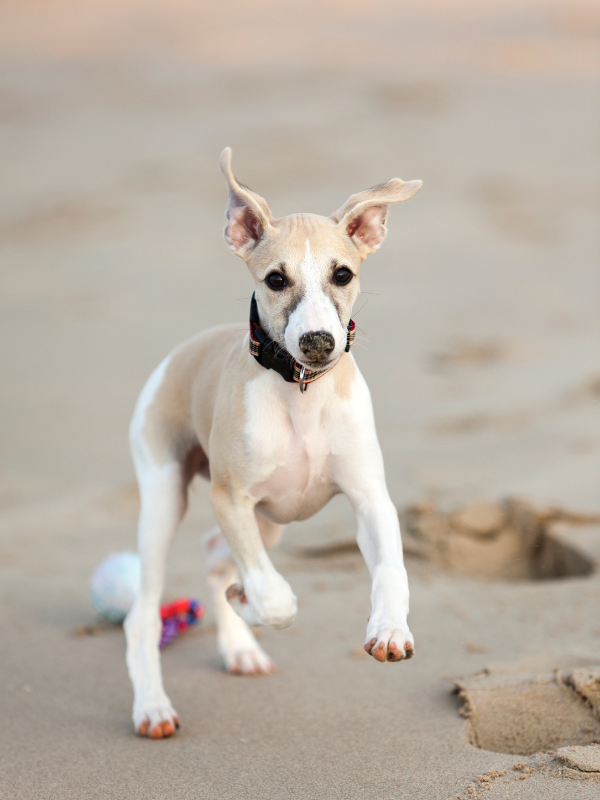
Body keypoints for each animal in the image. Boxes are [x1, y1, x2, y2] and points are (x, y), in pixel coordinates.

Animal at [124, 148, 422, 736]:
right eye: (276, 279)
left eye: (343, 273)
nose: (319, 342)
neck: (301, 393)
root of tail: (180, 352)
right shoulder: (230, 499)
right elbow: (273, 596)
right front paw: (258, 604)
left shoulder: (369, 497)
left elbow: (390, 569)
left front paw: (390, 629)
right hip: (167, 498)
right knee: (144, 612)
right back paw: (152, 706)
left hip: (270, 521)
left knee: (214, 554)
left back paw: (239, 648)